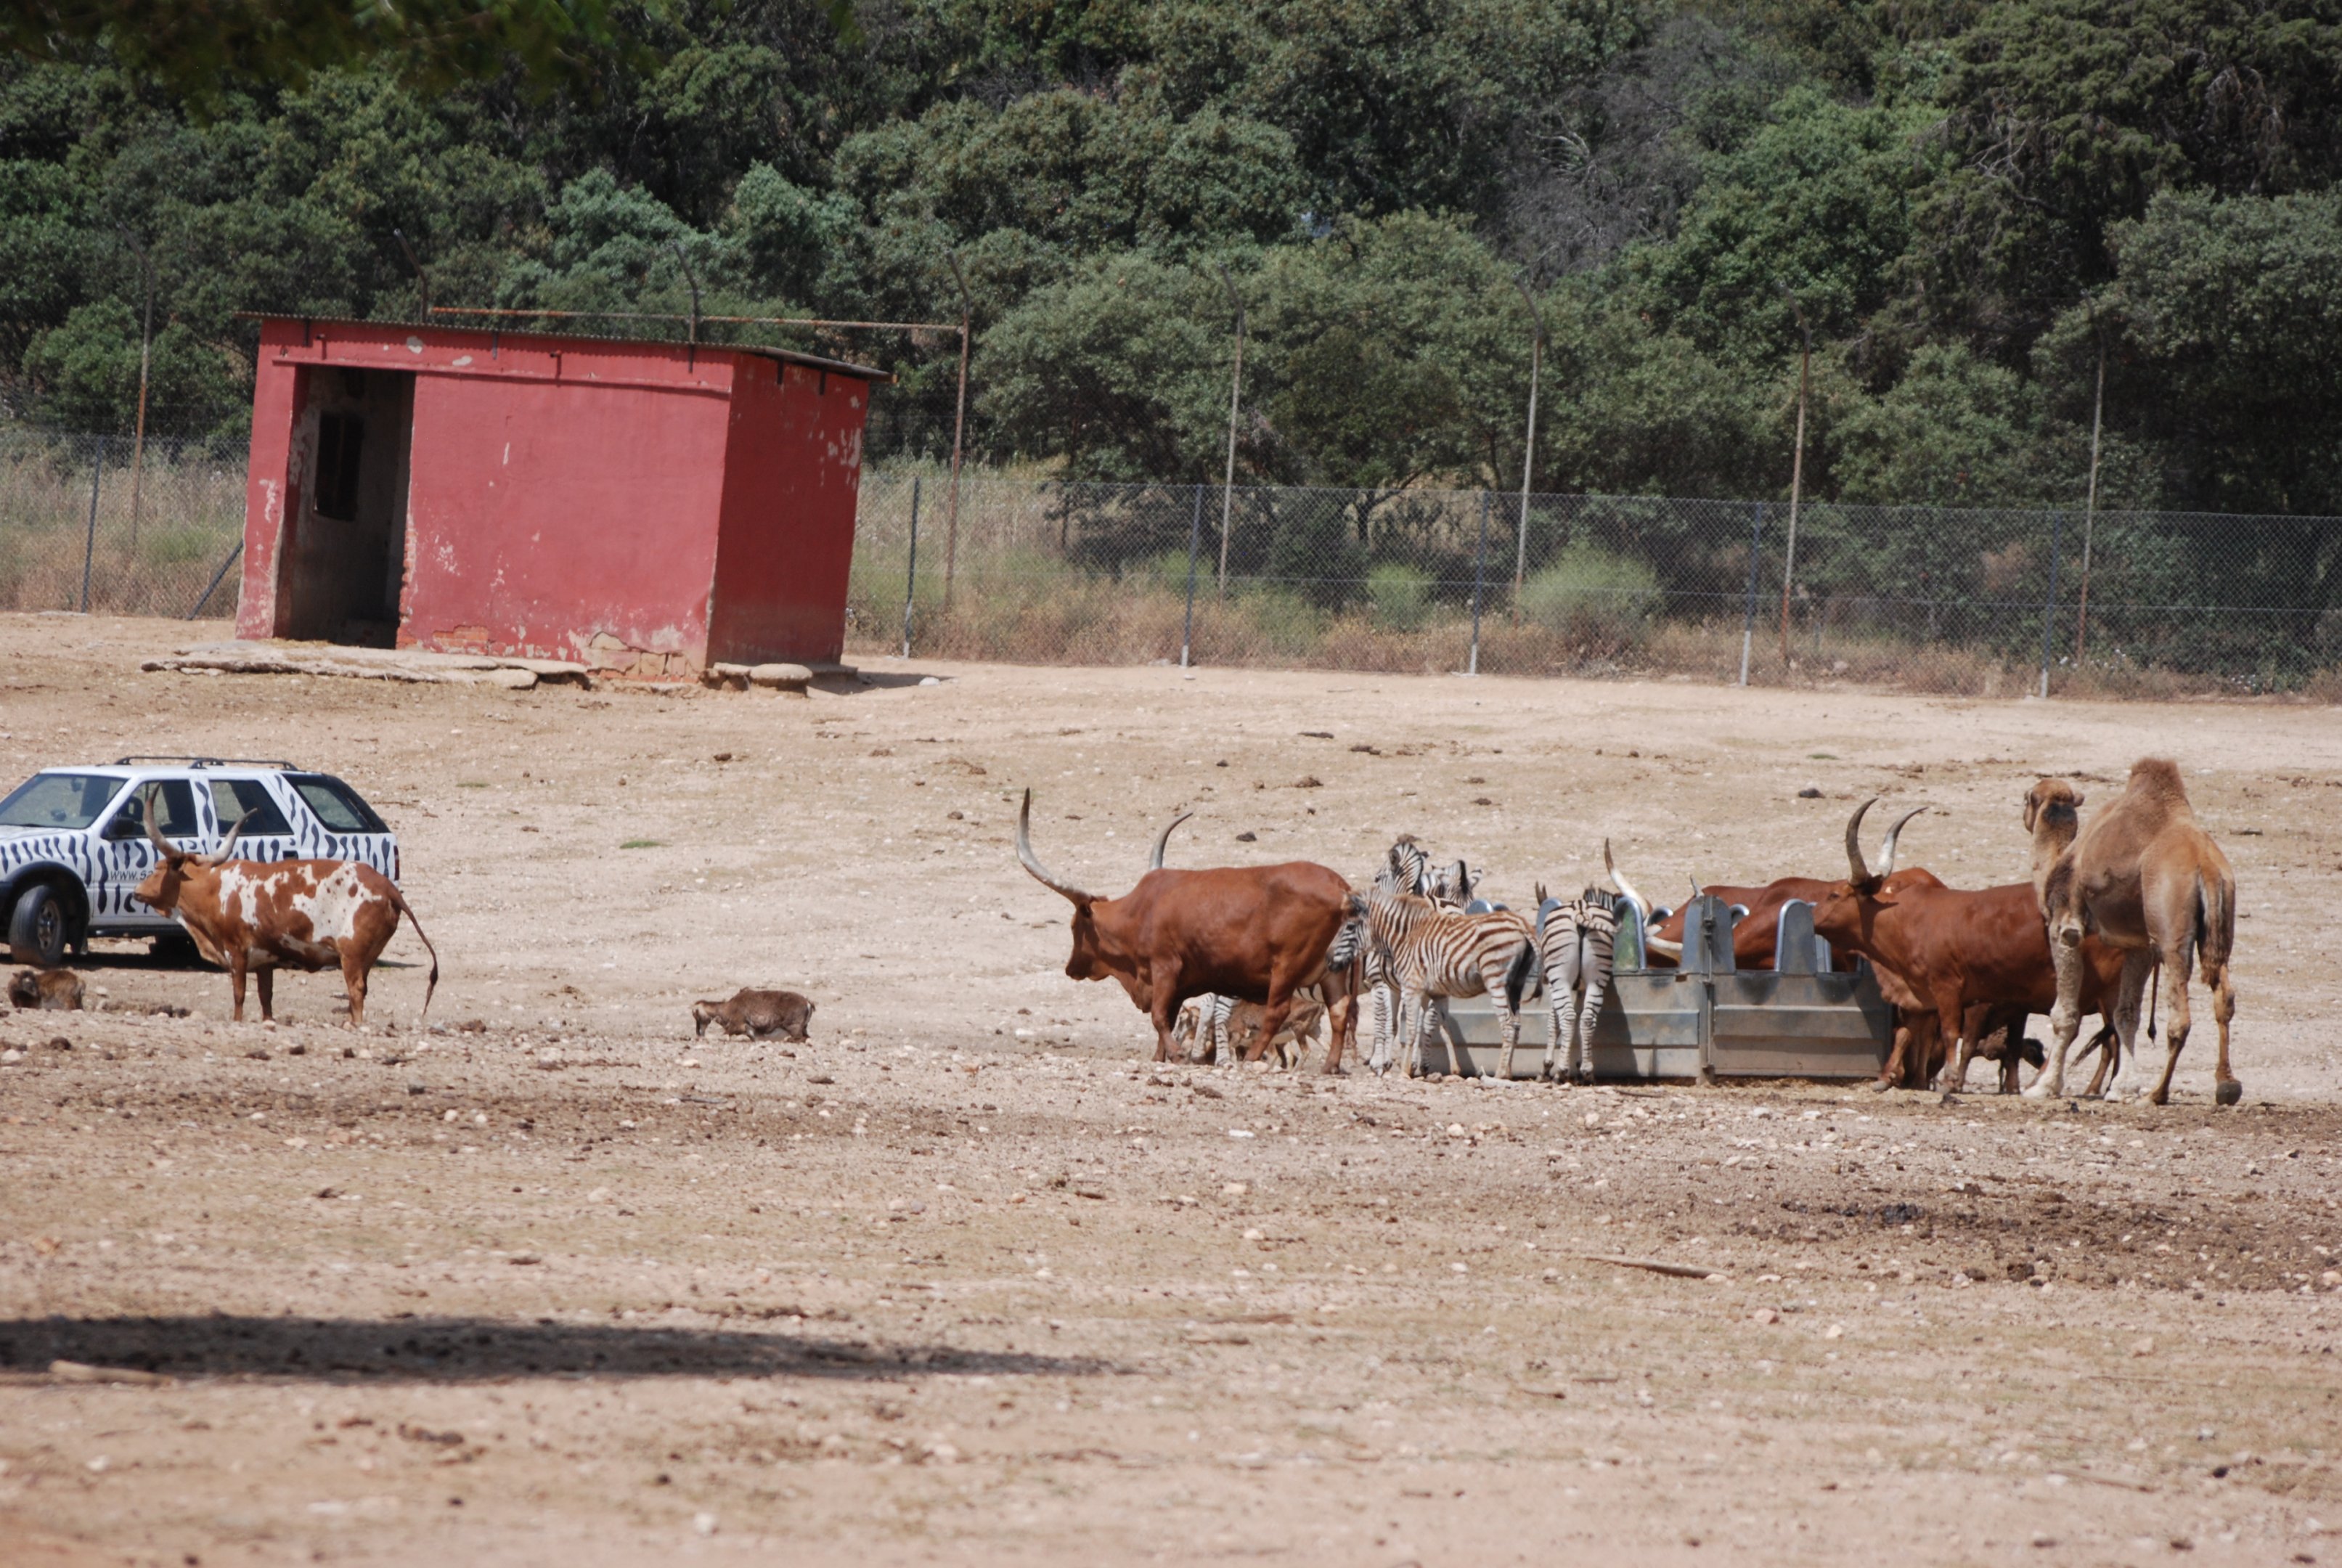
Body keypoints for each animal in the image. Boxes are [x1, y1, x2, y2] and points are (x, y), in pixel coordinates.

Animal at [132, 800, 438, 1026]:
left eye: (158, 868)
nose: (136, 891)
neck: (215, 887)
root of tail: (386, 886)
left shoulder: (237, 952)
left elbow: (239, 996)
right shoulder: (265, 960)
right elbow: (265, 999)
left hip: (352, 956)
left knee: (356, 992)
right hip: (366, 958)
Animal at [1015, 789, 1360, 1071]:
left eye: (1074, 926)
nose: (1070, 968)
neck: (1141, 910)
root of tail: (1340, 887)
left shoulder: (1165, 967)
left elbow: (1158, 1016)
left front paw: (1178, 1055)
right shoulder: (1180, 983)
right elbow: (1167, 1017)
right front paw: (1160, 1057)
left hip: (1287, 967)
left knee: (1278, 1010)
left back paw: (1252, 1058)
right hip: (1332, 971)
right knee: (1340, 1010)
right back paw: (1330, 1065)